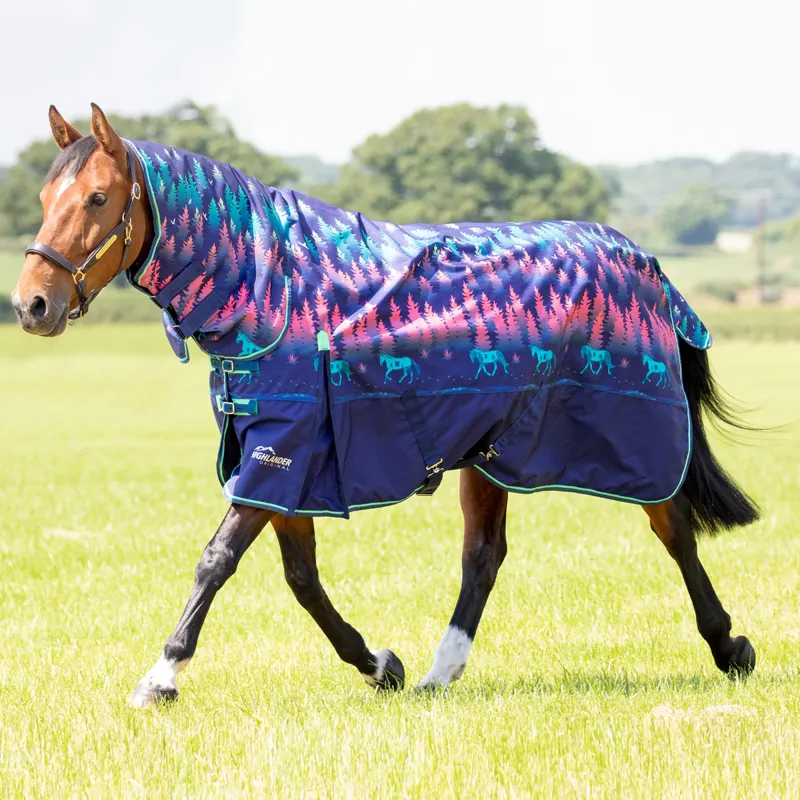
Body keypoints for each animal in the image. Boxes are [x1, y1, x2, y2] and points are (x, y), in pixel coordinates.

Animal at [12, 104, 759, 708]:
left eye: (98, 197)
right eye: (47, 194)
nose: (31, 304)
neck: (268, 290)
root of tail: (645, 262)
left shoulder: (279, 453)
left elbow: (217, 561)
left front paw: (161, 677)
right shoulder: (282, 461)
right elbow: (302, 578)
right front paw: (380, 665)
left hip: (636, 441)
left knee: (674, 529)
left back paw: (730, 647)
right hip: (491, 453)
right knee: (484, 557)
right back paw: (437, 673)